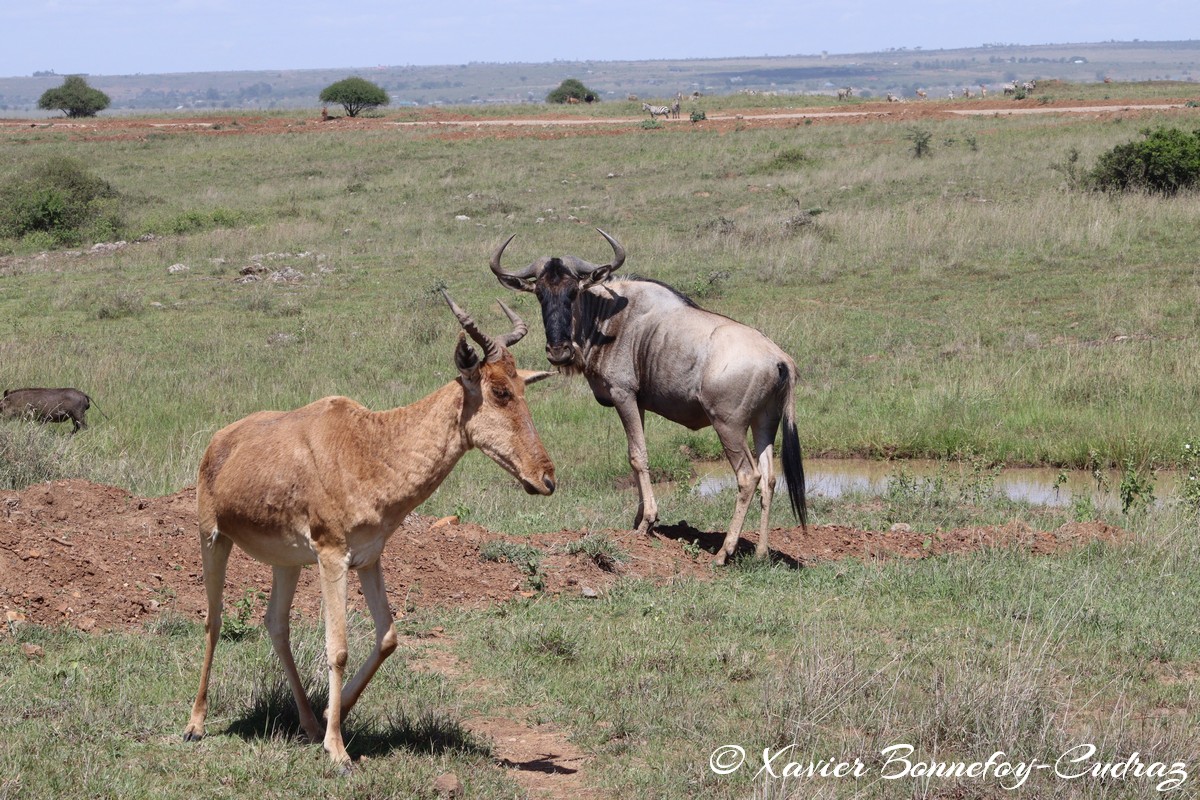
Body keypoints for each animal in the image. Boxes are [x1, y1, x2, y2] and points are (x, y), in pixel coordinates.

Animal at [182, 292, 556, 767]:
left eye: (523, 387)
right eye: (499, 391)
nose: (546, 479)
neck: (367, 444)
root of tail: (218, 441)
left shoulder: (368, 558)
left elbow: (388, 636)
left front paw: (331, 717)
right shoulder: (331, 556)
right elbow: (338, 647)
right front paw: (338, 751)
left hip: (287, 561)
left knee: (276, 624)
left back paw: (307, 724)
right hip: (213, 538)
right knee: (213, 620)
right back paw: (195, 725)